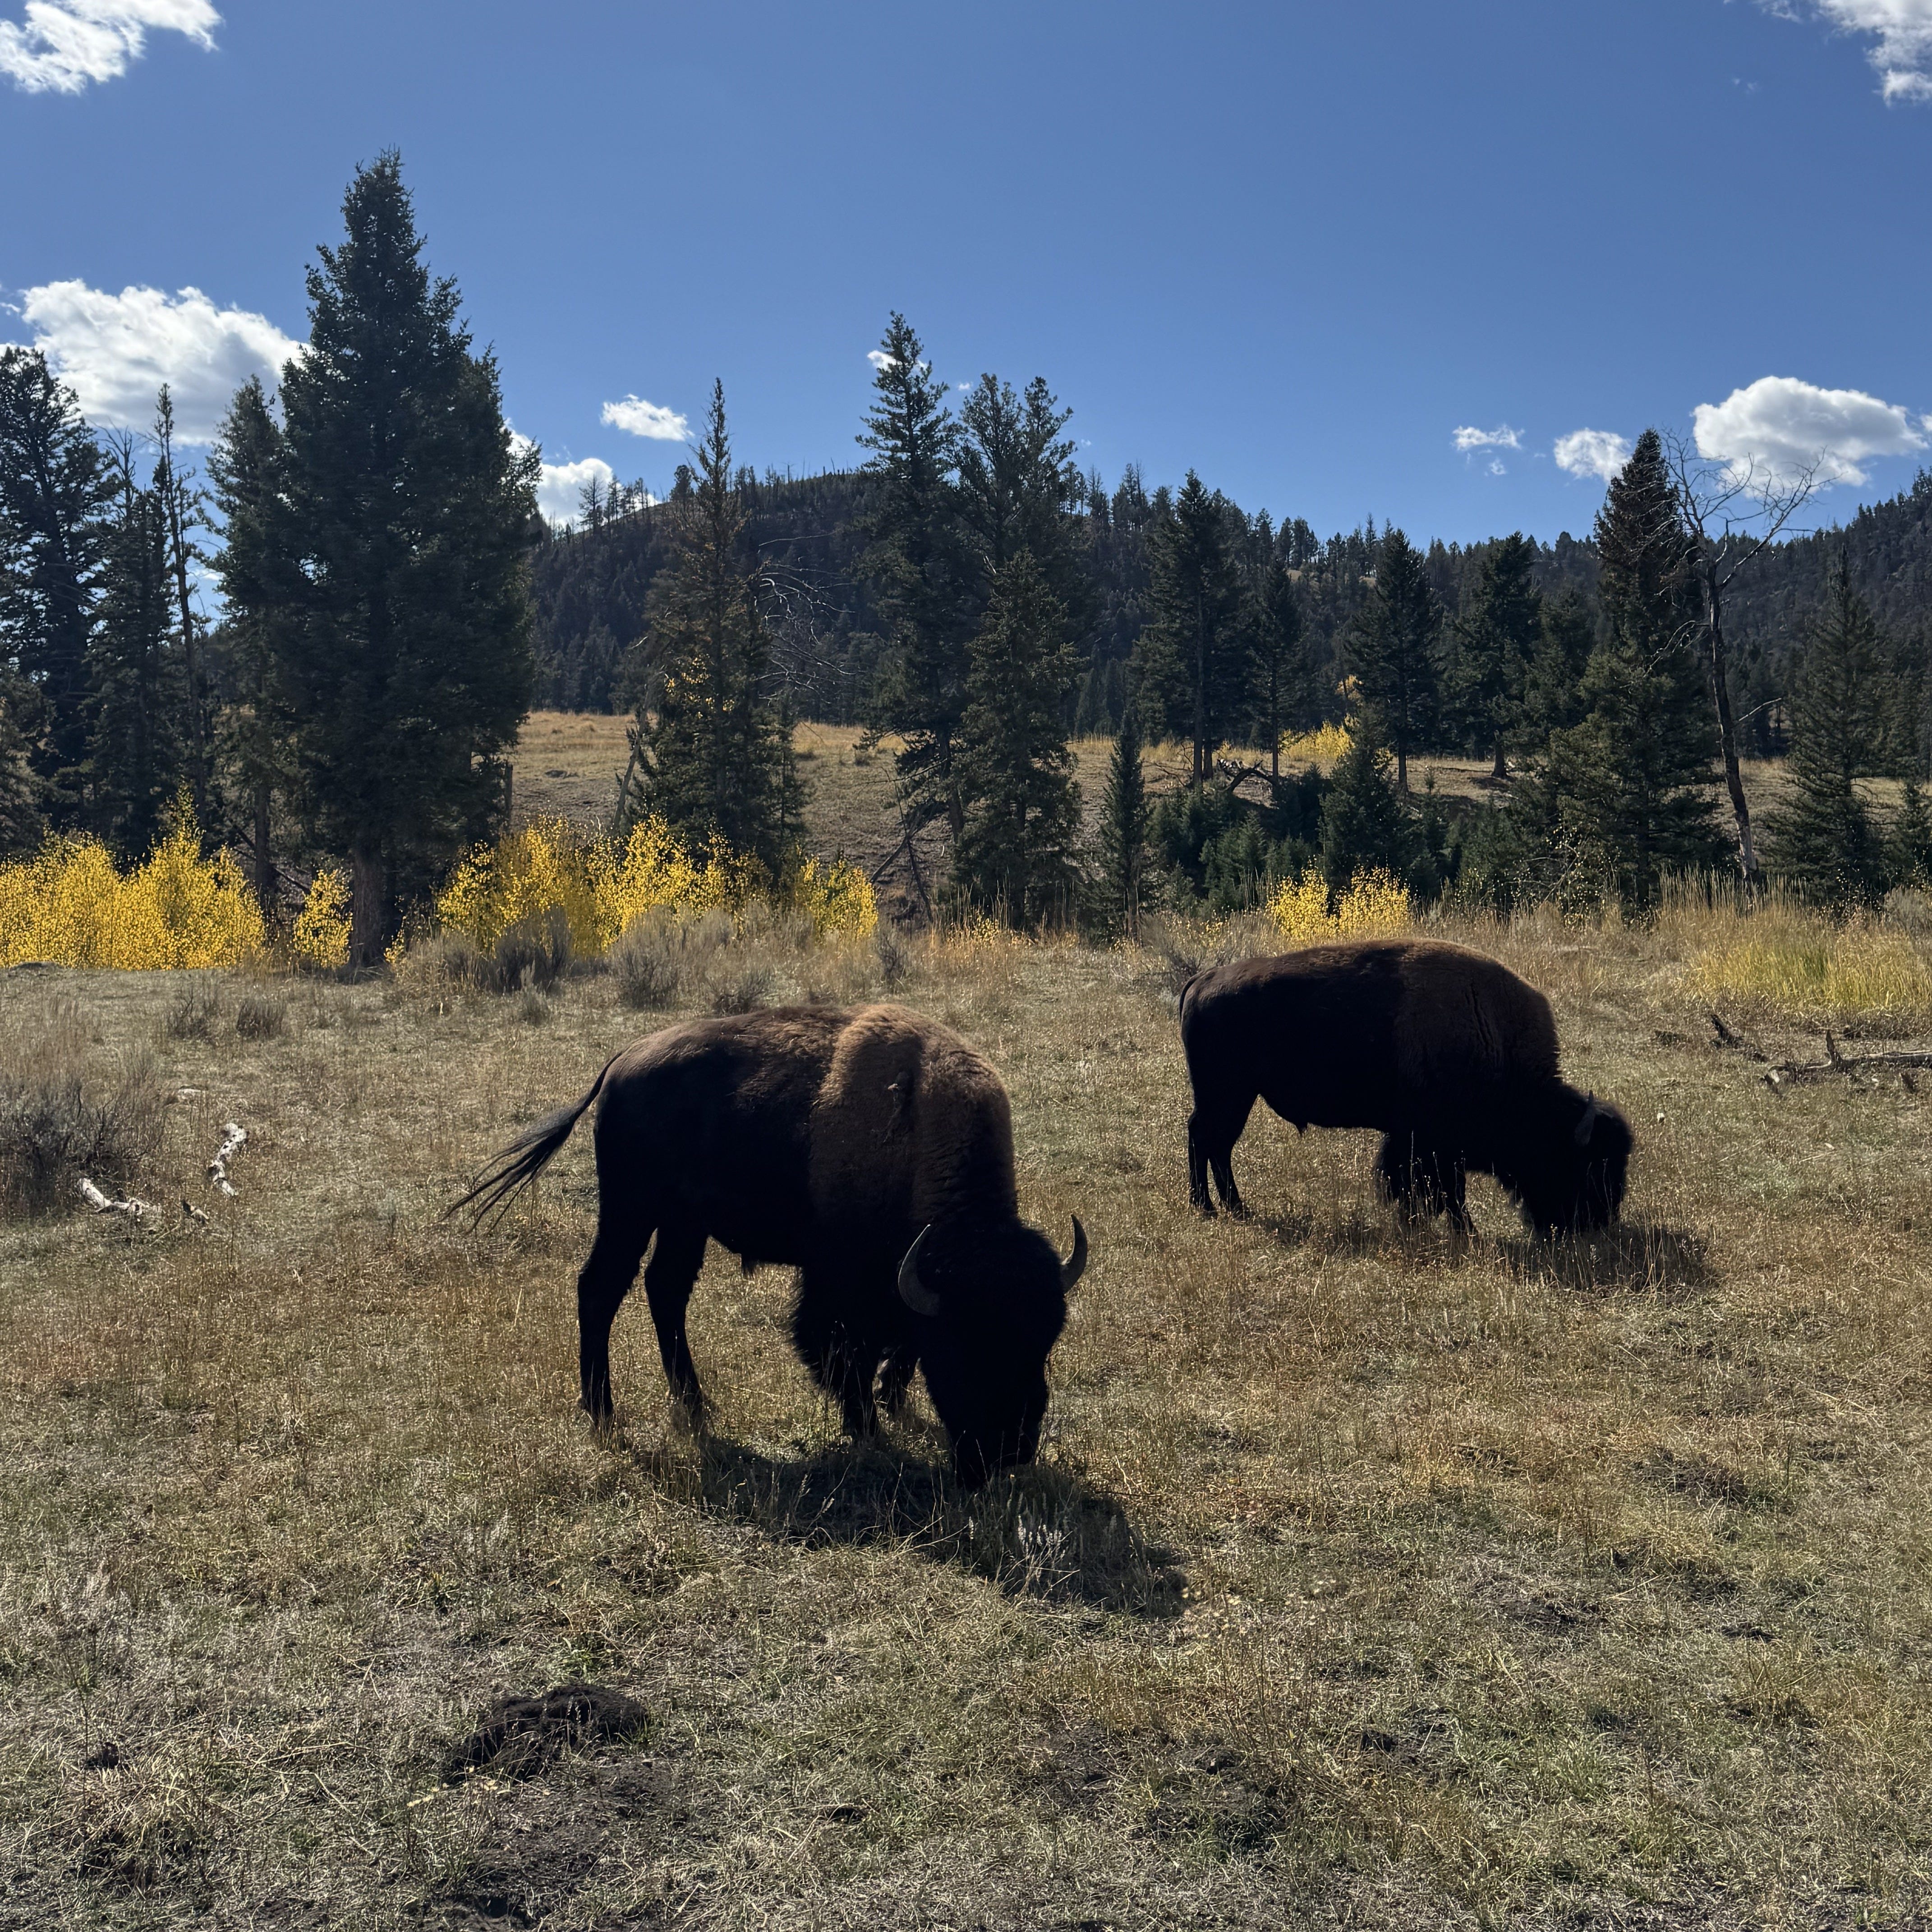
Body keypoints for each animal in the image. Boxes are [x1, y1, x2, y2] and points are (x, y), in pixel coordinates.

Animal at [456, 1003, 1087, 1486]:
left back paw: (695, 1406)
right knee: (601, 1288)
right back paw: (605, 1416)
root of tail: (619, 1065)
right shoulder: (840, 1284)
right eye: (966, 1345)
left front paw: (893, 1406)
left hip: (683, 1222)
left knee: (666, 1292)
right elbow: (842, 1351)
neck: (917, 1136)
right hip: (630, 1210)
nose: (1010, 1451)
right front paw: (867, 1430)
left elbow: (897, 1349)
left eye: (1044, 1342)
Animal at [1178, 939, 1632, 1235]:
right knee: (1206, 1139)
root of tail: (1202, 980)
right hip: (1228, 1095)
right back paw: (1210, 1208)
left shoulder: (1417, 1141)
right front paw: (1463, 1230)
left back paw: (1233, 1210)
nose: (1600, 1222)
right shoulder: (1435, 1144)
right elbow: (1447, 1190)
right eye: (1591, 1165)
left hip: (1235, 1096)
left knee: (1216, 1145)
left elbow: (1420, 1184)